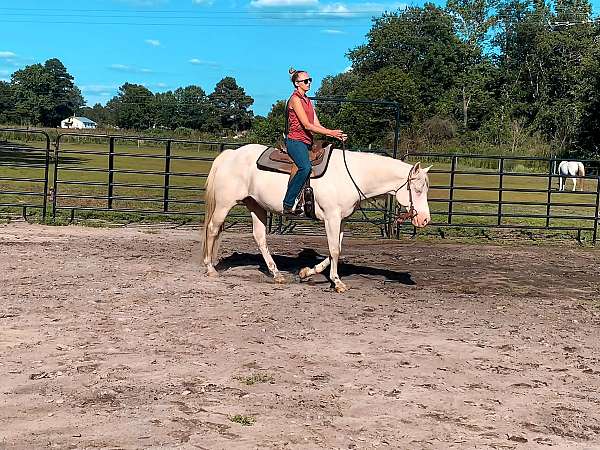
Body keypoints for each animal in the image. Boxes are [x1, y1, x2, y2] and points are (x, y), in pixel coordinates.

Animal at [202, 143, 432, 292]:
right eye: (418, 189)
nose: (424, 220)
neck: (351, 175)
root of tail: (230, 154)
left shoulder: (341, 220)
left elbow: (335, 250)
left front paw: (307, 272)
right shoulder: (332, 217)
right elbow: (334, 250)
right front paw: (337, 282)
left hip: (256, 205)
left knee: (259, 237)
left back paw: (277, 274)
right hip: (225, 203)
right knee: (213, 229)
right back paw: (210, 269)